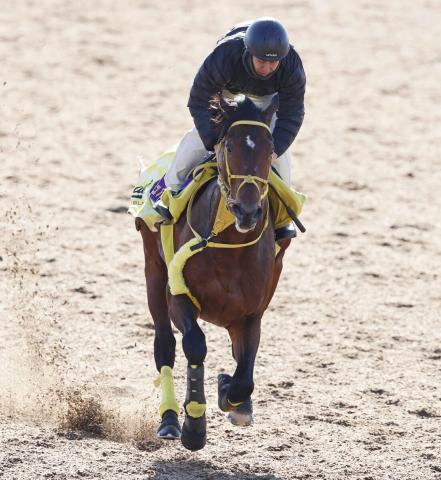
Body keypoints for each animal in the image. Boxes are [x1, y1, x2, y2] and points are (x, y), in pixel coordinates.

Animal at [134, 94, 292, 450]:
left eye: (270, 149)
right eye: (230, 147)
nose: (247, 211)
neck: (229, 245)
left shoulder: (252, 313)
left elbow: (245, 375)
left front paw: (231, 394)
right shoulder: (178, 296)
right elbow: (194, 344)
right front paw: (194, 425)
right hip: (154, 270)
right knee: (164, 345)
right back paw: (169, 420)